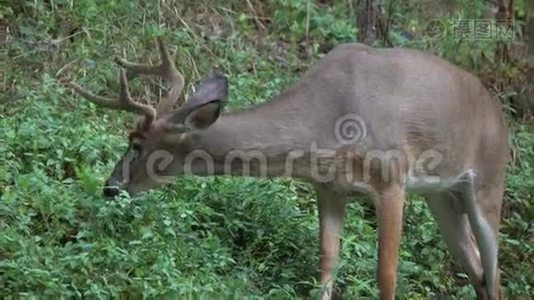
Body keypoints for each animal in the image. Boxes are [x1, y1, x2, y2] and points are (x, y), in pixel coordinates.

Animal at [66, 38, 510, 298]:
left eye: (136, 143)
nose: (109, 187)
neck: (328, 125)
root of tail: (500, 115)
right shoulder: (329, 188)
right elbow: (326, 266)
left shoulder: (391, 179)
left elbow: (386, 275)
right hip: (442, 196)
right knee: (477, 269)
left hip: (488, 183)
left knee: (494, 271)